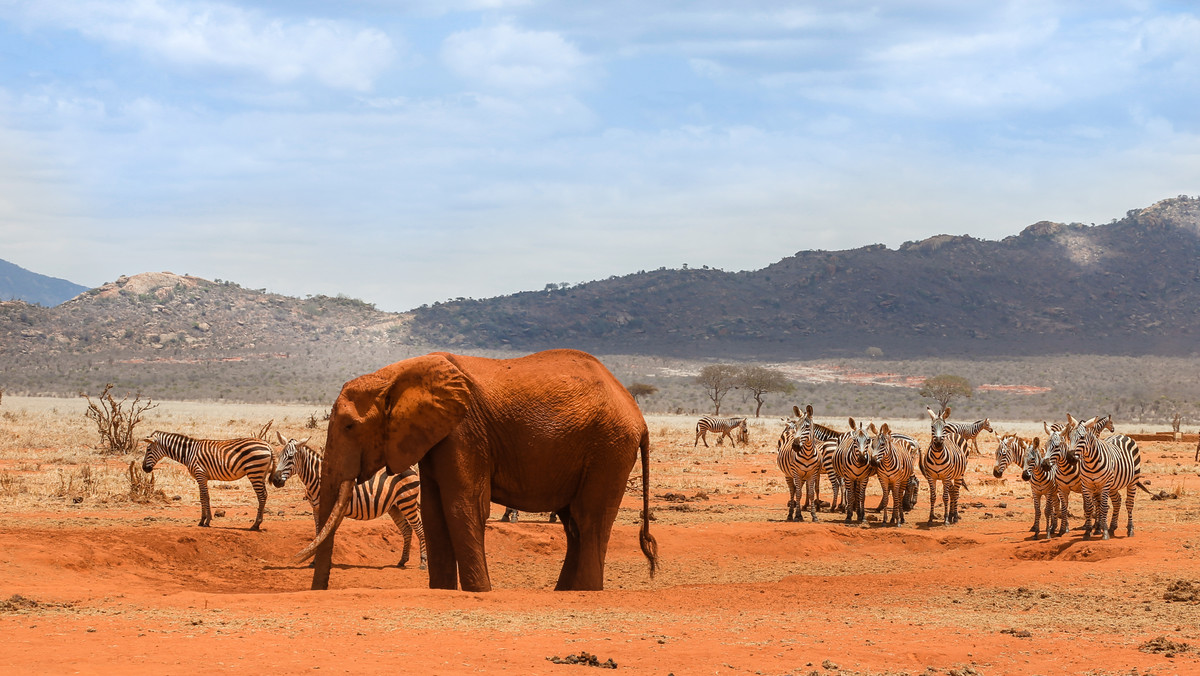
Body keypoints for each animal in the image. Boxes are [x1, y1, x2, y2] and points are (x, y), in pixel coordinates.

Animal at [141, 432, 273, 530]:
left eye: (148, 449)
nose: (144, 468)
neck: (188, 453)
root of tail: (267, 445)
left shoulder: (200, 474)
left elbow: (205, 496)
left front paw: (206, 521)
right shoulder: (201, 477)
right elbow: (202, 497)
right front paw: (203, 520)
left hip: (255, 472)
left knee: (261, 496)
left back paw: (255, 525)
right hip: (260, 474)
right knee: (265, 494)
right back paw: (257, 524)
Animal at [272, 434, 427, 571]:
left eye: (290, 457)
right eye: (279, 456)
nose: (275, 480)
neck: (318, 479)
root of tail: (411, 468)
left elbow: (323, 534)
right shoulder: (315, 509)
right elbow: (318, 535)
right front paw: (314, 561)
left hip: (407, 502)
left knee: (419, 528)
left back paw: (423, 562)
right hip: (395, 506)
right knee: (406, 529)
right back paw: (402, 560)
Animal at [296, 348, 662, 593]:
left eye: (349, 426)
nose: (317, 586)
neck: (394, 375)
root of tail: (638, 414)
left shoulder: (464, 430)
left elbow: (463, 506)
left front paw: (479, 592)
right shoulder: (435, 433)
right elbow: (434, 512)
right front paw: (443, 591)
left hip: (608, 448)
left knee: (589, 521)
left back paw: (584, 592)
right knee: (574, 525)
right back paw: (565, 592)